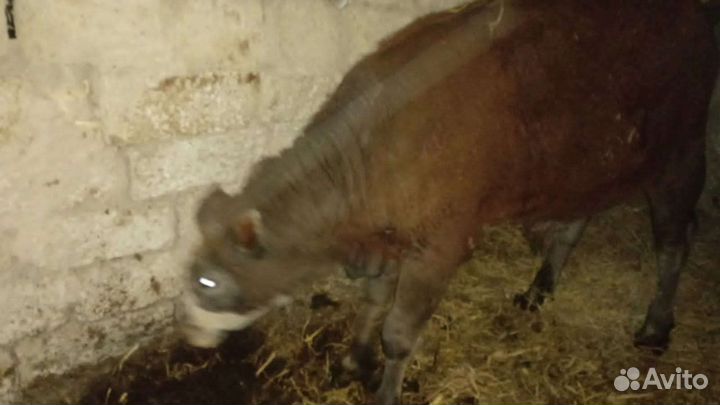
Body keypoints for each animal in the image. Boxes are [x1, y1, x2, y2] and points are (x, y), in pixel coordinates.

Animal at [177, 0, 719, 403]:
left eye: (207, 281)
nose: (192, 341)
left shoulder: (441, 244)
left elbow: (398, 333)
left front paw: (385, 390)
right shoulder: (387, 235)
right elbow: (374, 299)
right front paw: (354, 360)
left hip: (679, 150)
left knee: (677, 238)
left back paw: (655, 327)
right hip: (593, 161)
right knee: (575, 221)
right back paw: (538, 289)